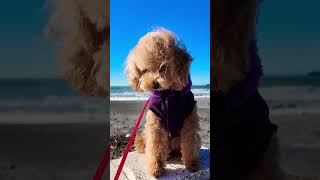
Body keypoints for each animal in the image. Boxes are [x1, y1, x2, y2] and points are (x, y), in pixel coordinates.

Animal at [125, 28, 200, 177]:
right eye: (145, 70)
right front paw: (156, 169)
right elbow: (156, 147)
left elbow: (191, 142)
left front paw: (192, 164)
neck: (168, 95)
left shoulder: (190, 118)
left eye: (163, 67)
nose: (154, 84)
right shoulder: (156, 121)